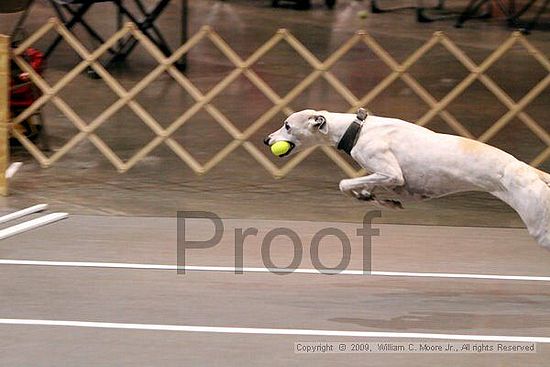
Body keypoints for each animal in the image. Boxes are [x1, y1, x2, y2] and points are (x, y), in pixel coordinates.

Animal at [266, 108, 550, 249]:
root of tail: (531, 171)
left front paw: (371, 197)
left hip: (540, 228)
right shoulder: (389, 179)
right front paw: (374, 198)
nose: (266, 140)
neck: (357, 129)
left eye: (287, 125)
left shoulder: (391, 172)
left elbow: (344, 184)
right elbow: (368, 189)